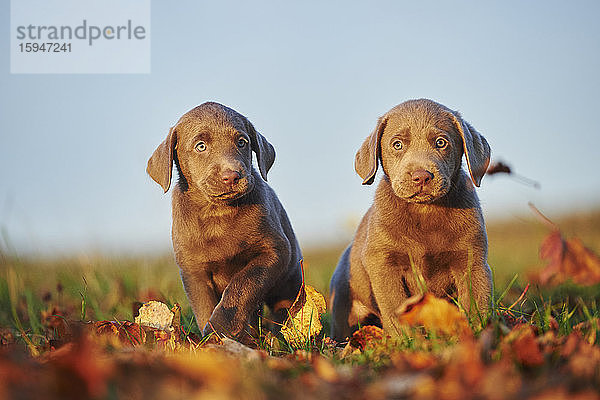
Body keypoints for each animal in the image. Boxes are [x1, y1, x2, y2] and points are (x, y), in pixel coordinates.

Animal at [148, 102, 302, 340]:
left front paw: (221, 327)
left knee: (284, 308)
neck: (218, 214)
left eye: (242, 142)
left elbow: (243, 283)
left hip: (290, 280)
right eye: (201, 146)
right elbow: (204, 307)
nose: (231, 176)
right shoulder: (194, 272)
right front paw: (211, 338)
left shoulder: (274, 251)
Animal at [328, 98, 492, 340]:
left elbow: (476, 303)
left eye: (441, 142)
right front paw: (407, 341)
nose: (421, 176)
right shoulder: (383, 263)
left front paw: (475, 336)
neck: (425, 211)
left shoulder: (472, 260)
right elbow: (395, 306)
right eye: (397, 145)